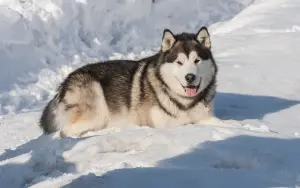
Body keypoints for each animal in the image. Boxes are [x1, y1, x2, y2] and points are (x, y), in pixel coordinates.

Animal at [39, 26, 218, 137]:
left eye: (197, 60)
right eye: (179, 62)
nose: (190, 77)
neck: (185, 102)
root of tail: (64, 83)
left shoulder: (204, 116)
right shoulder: (166, 124)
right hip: (97, 108)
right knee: (65, 132)